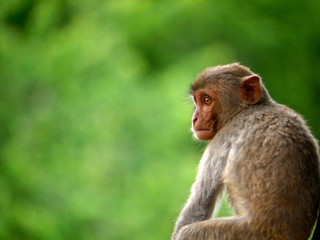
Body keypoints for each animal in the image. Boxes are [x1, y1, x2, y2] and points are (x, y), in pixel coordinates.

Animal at [171, 63, 320, 240]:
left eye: (206, 100)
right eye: (197, 100)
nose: (194, 118)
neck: (246, 110)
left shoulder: (222, 139)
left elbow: (198, 207)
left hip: (241, 233)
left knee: (187, 233)